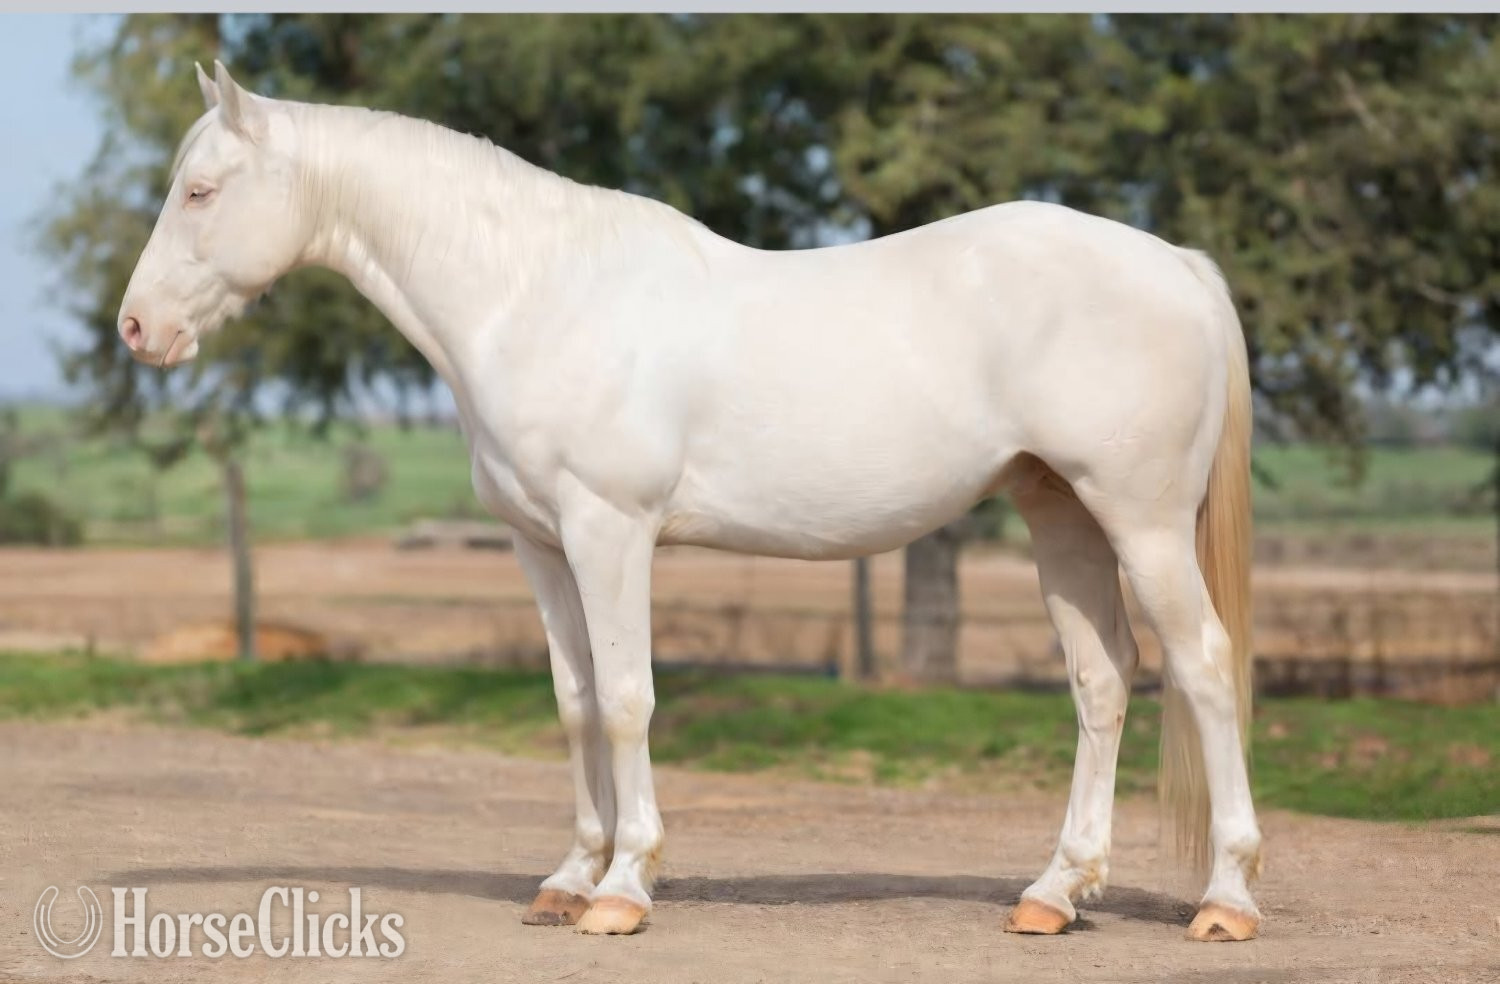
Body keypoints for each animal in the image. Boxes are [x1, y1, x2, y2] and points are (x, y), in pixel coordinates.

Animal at [118, 62, 1262, 941]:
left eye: (202, 192)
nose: (136, 329)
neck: (533, 295)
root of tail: (1180, 266)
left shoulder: (609, 532)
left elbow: (629, 700)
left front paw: (623, 891)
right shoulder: (540, 544)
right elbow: (575, 701)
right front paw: (568, 878)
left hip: (1141, 520)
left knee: (1203, 665)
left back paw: (1226, 900)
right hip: (1060, 511)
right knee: (1102, 679)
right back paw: (1054, 894)